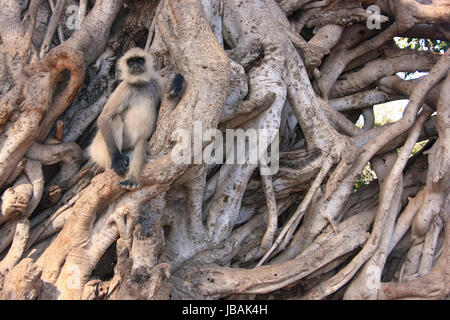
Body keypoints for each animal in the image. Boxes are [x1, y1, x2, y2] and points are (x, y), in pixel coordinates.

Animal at [88, 46, 185, 189]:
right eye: (130, 62)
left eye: (139, 60)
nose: (135, 66)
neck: (139, 84)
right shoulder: (124, 87)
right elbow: (104, 117)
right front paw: (116, 159)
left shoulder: (155, 82)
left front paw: (178, 80)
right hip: (101, 149)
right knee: (115, 118)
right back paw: (113, 164)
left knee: (141, 142)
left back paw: (131, 179)